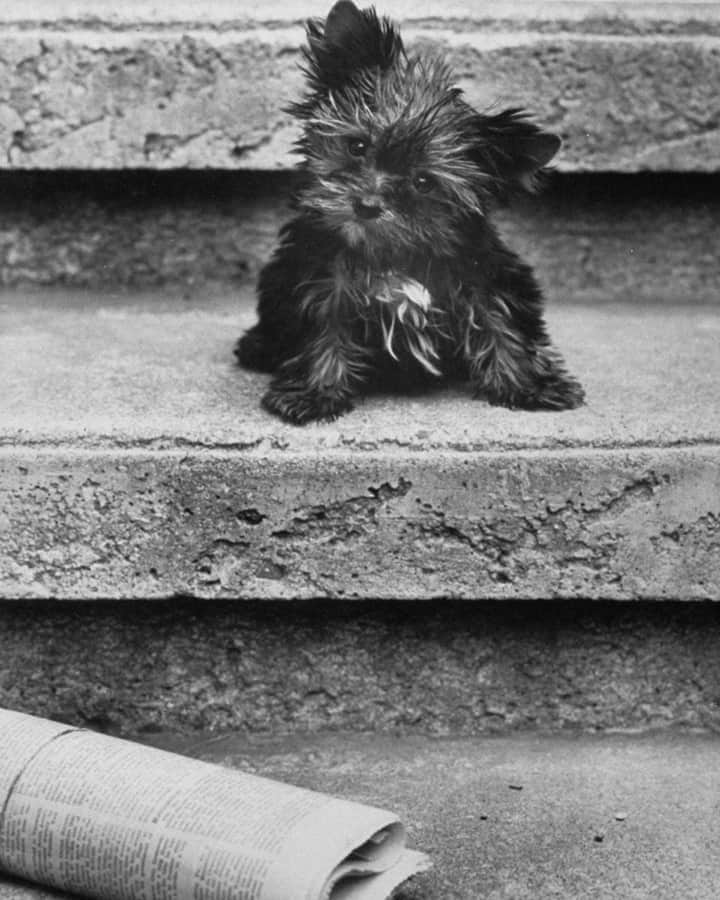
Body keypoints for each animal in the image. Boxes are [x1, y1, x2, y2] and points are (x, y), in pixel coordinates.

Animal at [236, 0, 584, 426]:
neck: (393, 252)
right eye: (357, 146)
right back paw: (257, 344)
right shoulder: (319, 277)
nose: (367, 206)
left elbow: (504, 323)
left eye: (423, 182)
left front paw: (531, 384)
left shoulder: (485, 273)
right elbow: (323, 328)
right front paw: (314, 391)